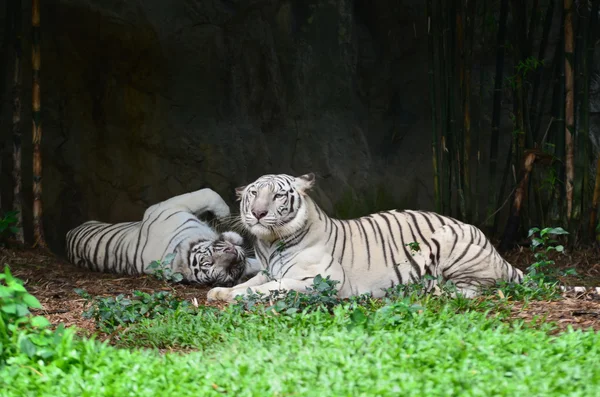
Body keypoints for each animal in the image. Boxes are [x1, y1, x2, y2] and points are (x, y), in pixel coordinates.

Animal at [65, 188, 260, 284]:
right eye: (209, 263)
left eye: (232, 269)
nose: (234, 255)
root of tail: (68, 235)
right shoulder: (165, 207)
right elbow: (208, 193)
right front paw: (226, 215)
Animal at [207, 173, 600, 300]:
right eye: (253, 194)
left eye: (277, 196)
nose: (258, 213)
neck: (270, 243)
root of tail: (495, 251)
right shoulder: (266, 269)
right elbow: (250, 283)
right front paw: (217, 292)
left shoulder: (317, 279)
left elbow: (267, 290)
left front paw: (228, 297)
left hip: (453, 244)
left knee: (475, 289)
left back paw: (432, 290)